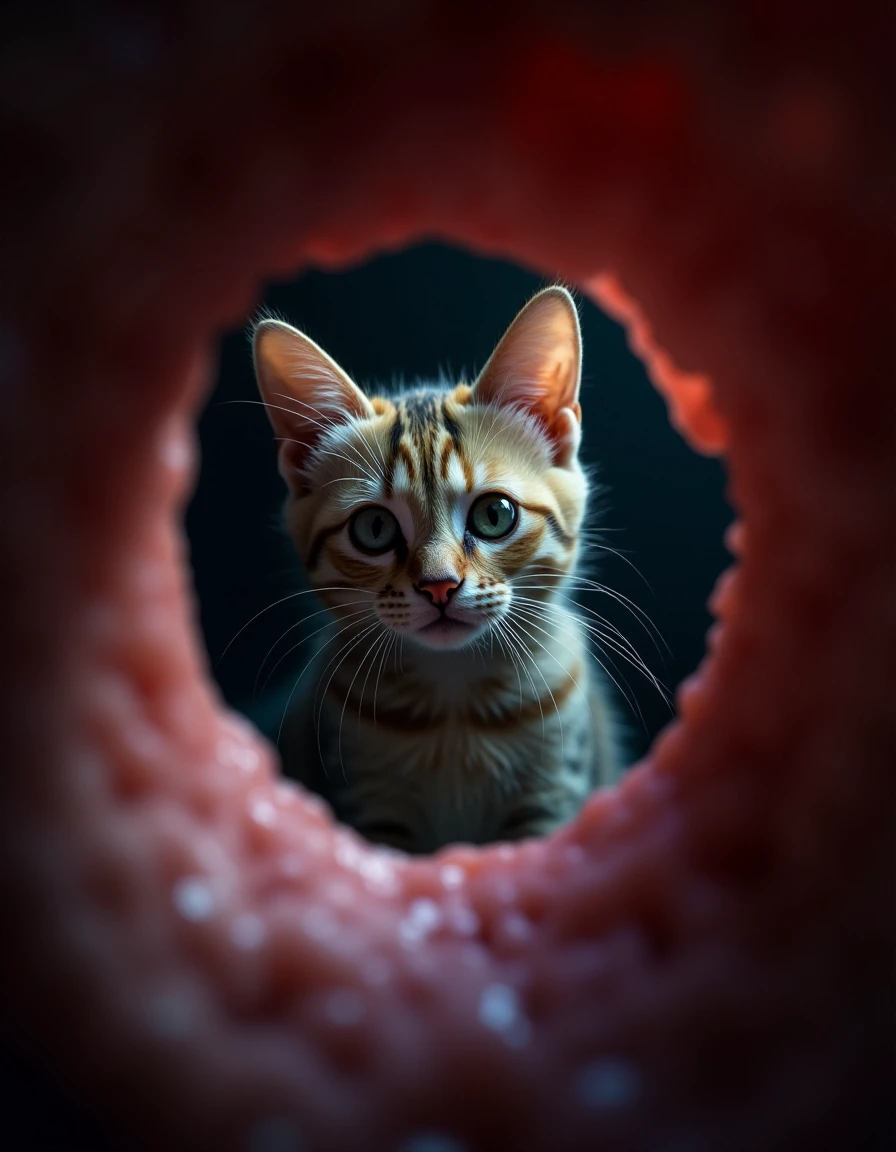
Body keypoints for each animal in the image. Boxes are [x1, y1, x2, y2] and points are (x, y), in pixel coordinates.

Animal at [251, 283, 621, 852]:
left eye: (495, 514)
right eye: (374, 528)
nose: (440, 585)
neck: (455, 706)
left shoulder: (553, 795)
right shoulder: (368, 804)